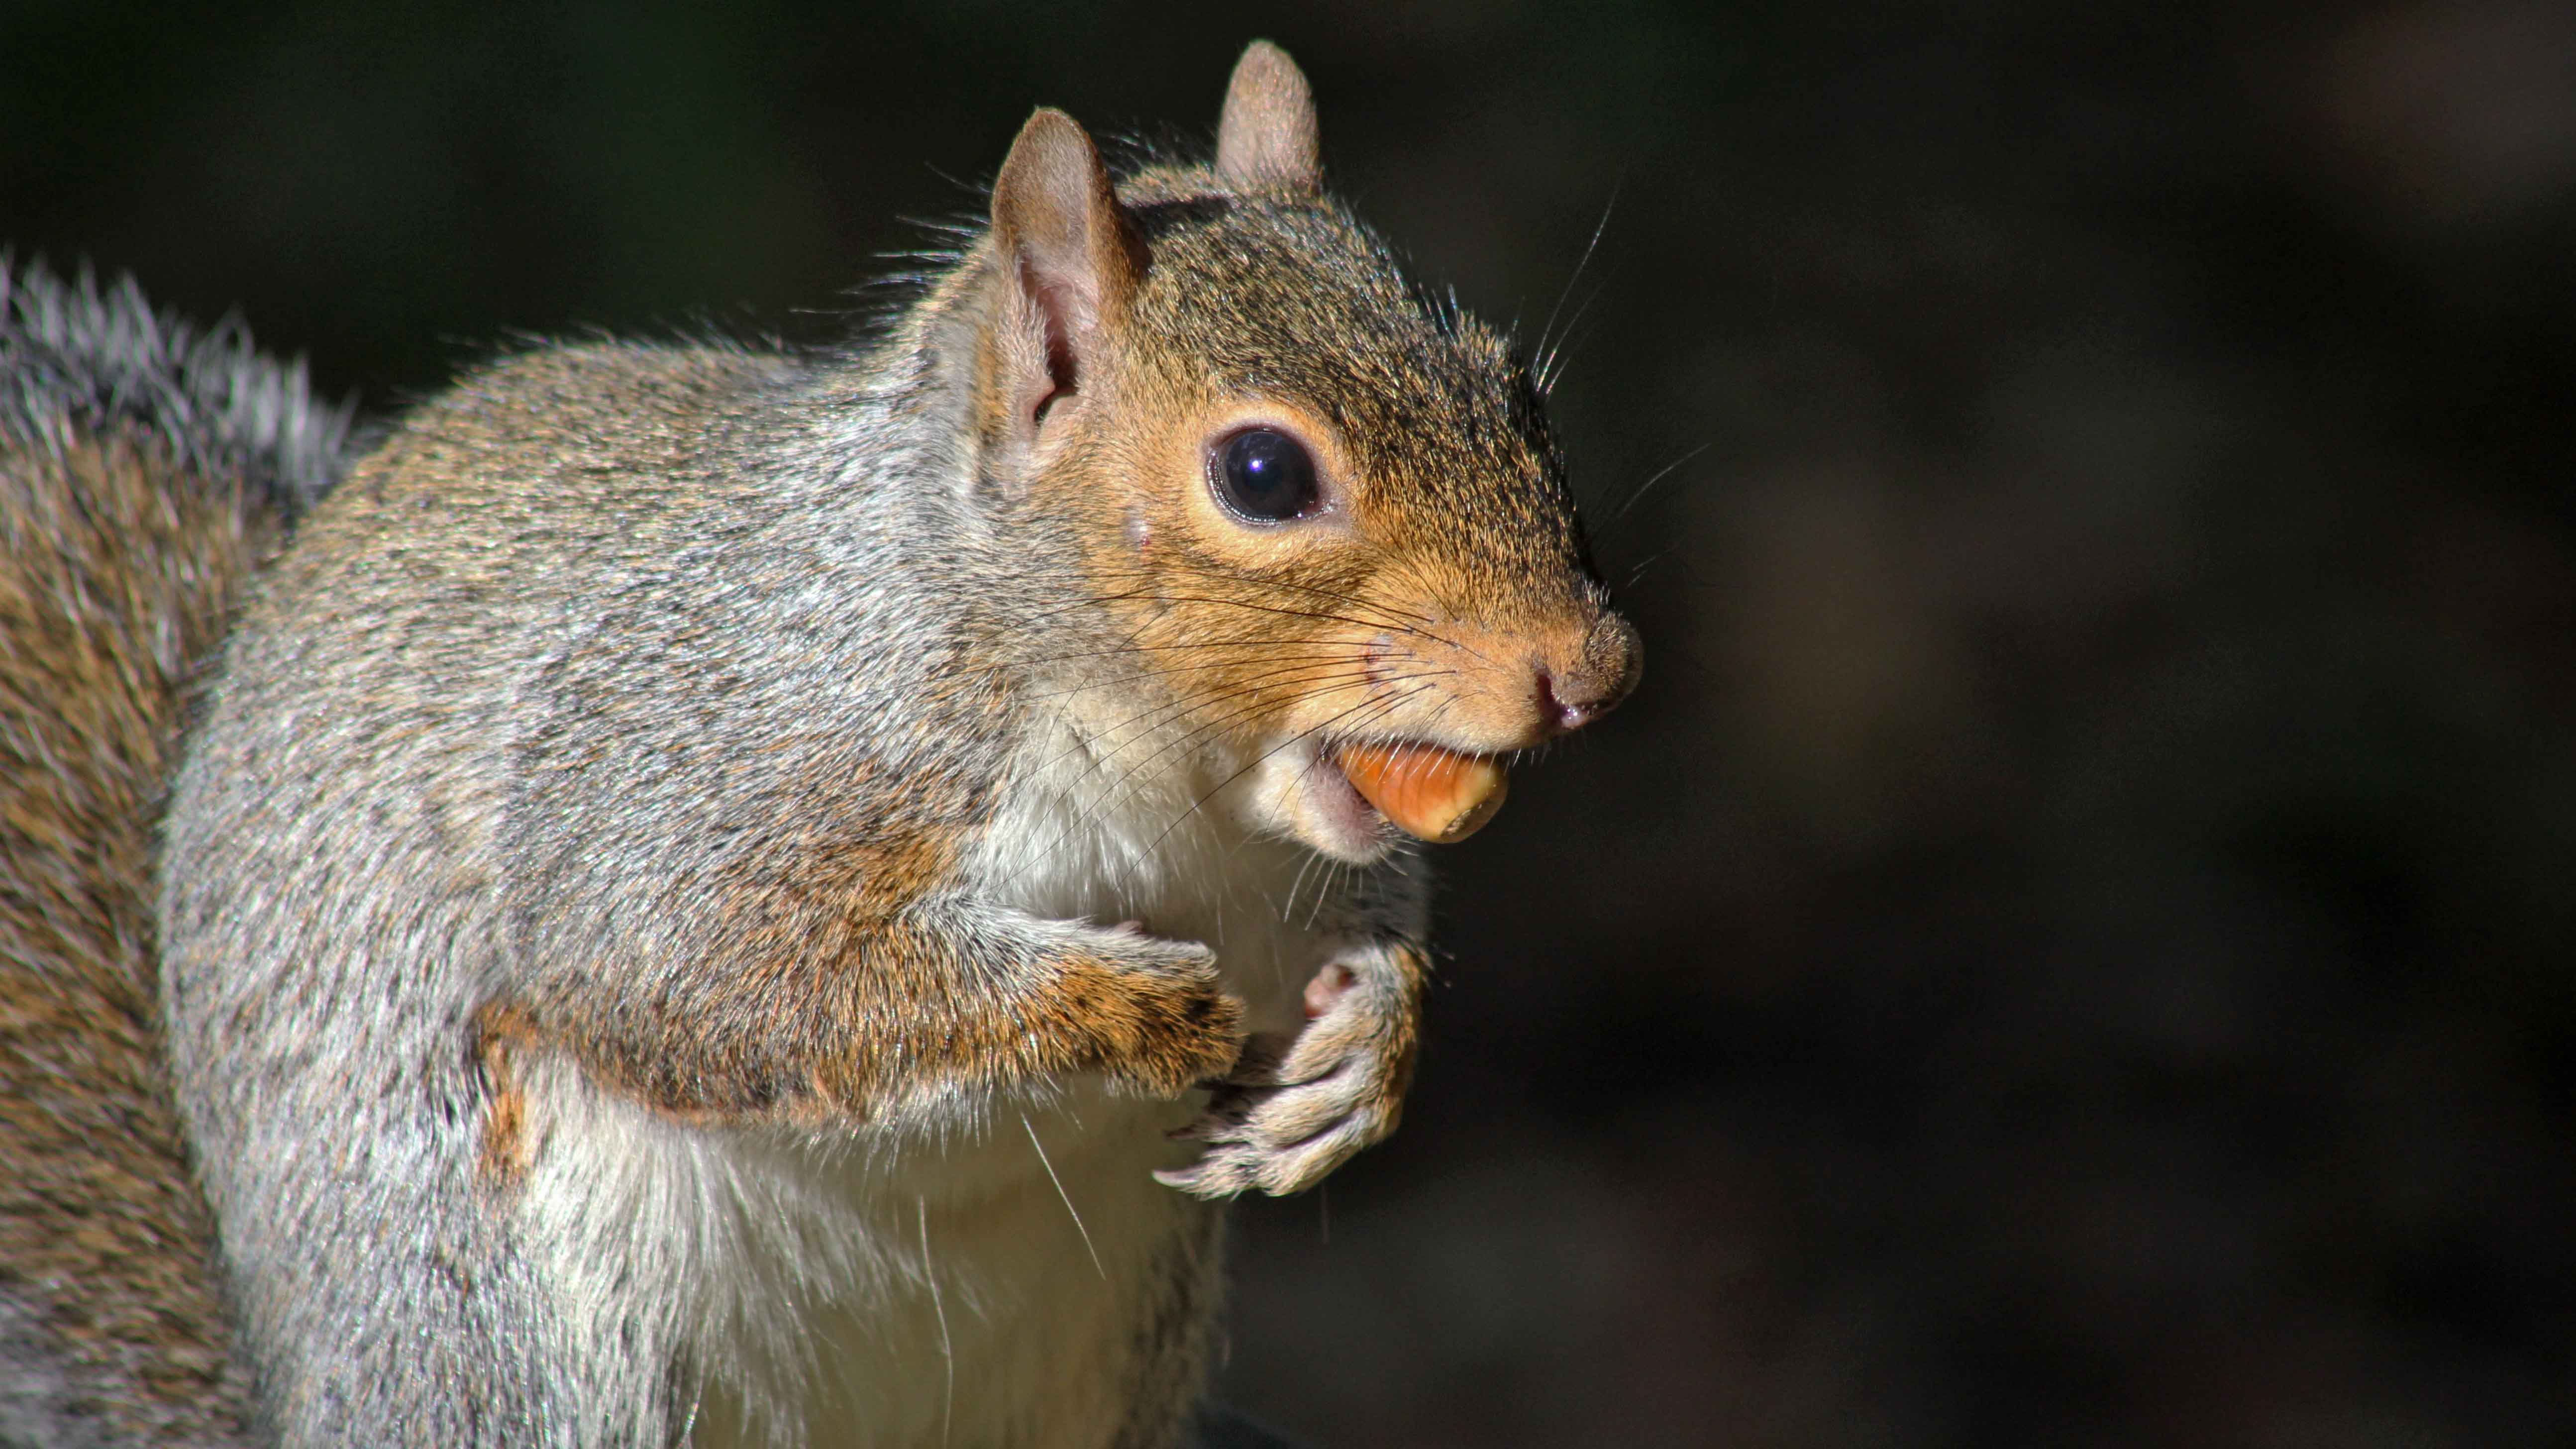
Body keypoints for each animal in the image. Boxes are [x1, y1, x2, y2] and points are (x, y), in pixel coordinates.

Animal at [0, 41, 1638, 1449]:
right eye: (1259, 472)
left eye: (1512, 383)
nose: (1590, 670)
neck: (1174, 782)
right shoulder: (723, 751)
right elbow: (701, 968)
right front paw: (1129, 1004)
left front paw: (1365, 1048)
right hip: (508, 1353)